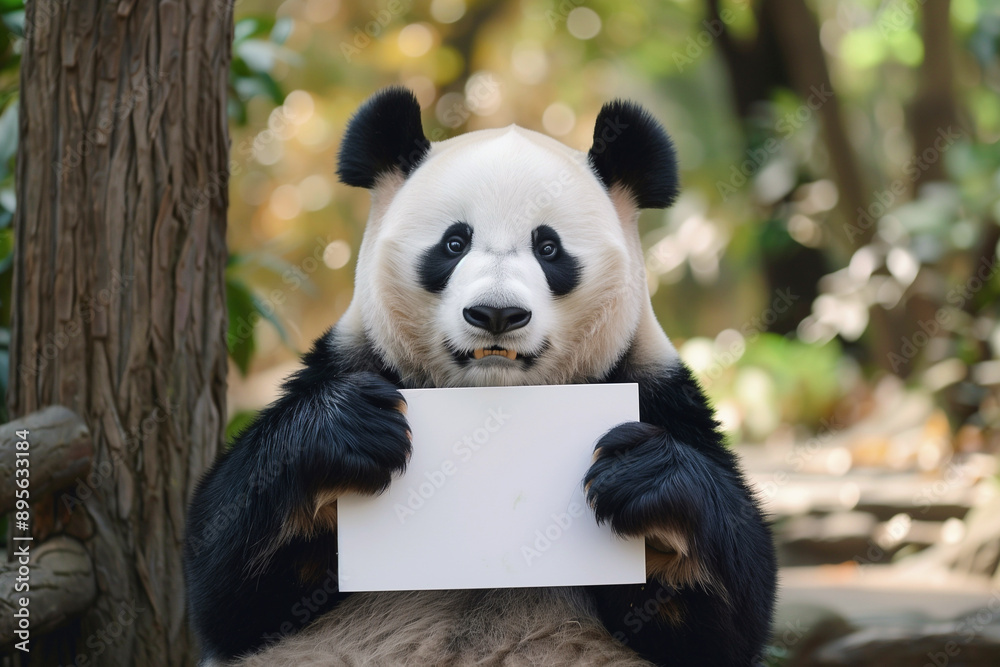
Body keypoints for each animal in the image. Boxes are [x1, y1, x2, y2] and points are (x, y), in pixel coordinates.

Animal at [183, 87, 777, 666]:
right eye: (454, 243)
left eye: (548, 247)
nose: (496, 313)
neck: (493, 397)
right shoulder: (353, 359)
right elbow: (230, 589)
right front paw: (347, 430)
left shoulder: (655, 389)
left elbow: (721, 625)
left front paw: (645, 475)